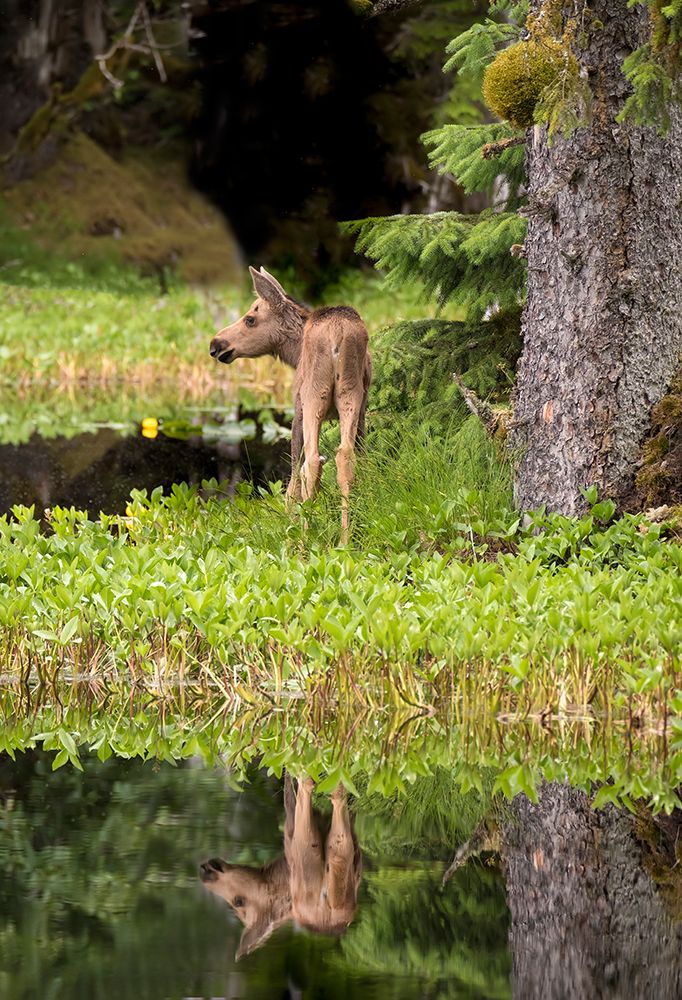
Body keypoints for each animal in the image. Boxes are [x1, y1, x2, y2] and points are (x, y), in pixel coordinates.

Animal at [199, 775, 362, 960]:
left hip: (303, 846)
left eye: (238, 902)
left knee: (306, 785)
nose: (206, 870)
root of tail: (329, 914)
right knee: (339, 805)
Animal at [209, 267, 372, 541]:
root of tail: (337, 333)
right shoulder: (363, 411)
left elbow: (294, 475)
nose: (215, 344)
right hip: (350, 393)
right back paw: (345, 537)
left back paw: (304, 541)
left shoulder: (296, 410)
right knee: (345, 456)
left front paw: (289, 519)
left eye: (250, 319)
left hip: (313, 395)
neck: (294, 355)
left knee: (313, 461)